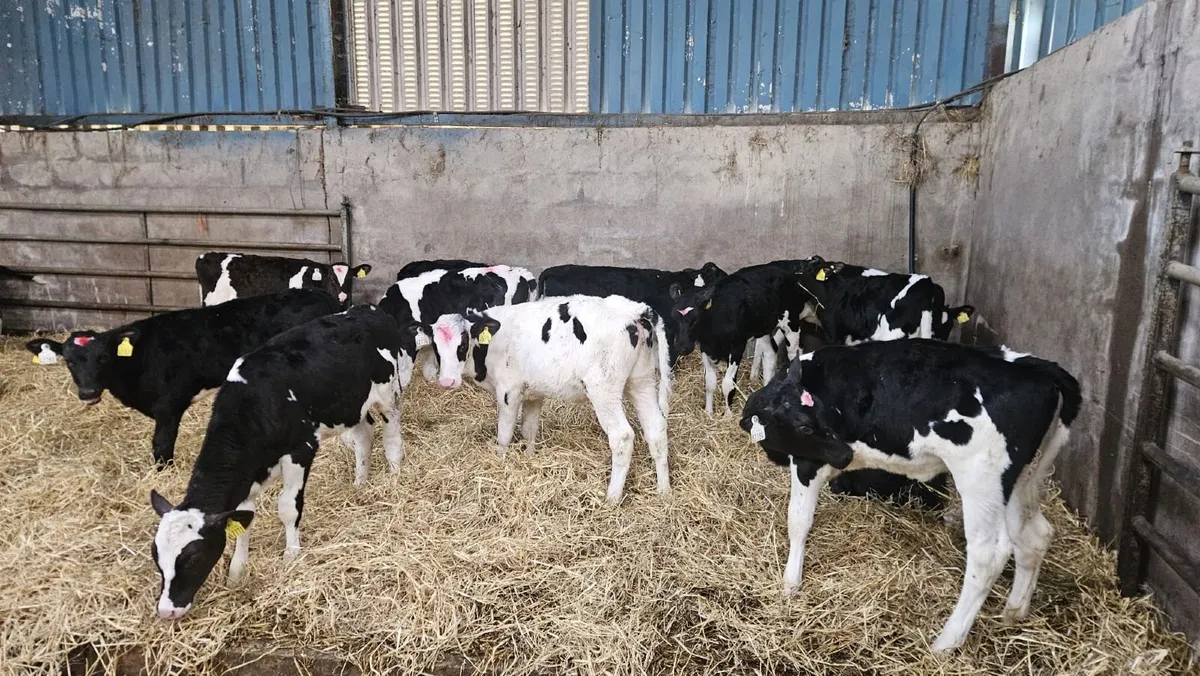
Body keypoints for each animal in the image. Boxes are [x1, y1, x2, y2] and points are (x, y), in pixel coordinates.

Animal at [25, 289, 340, 466]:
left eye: (103, 357)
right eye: (69, 361)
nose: (89, 392)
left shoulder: (169, 405)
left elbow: (162, 444)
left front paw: (163, 471)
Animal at [148, 305, 424, 620]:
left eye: (193, 557)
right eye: (157, 557)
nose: (167, 610)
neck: (256, 404)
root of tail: (369, 309)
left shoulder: (300, 451)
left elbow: (288, 508)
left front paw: (291, 555)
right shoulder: (247, 475)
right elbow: (245, 520)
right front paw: (236, 572)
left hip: (388, 394)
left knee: (391, 436)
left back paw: (394, 474)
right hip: (351, 406)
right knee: (365, 434)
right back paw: (359, 483)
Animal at [429, 294, 672, 504]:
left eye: (462, 343)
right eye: (436, 347)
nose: (447, 381)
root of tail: (632, 309)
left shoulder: (509, 391)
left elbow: (504, 435)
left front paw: (500, 462)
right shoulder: (533, 394)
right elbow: (529, 430)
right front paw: (529, 458)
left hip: (604, 389)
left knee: (622, 436)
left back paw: (612, 498)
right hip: (642, 381)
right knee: (656, 429)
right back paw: (663, 491)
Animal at [672, 259, 830, 417]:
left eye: (695, 319)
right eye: (674, 318)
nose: (681, 346)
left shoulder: (737, 347)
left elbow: (727, 383)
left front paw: (728, 416)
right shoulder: (706, 348)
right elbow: (710, 382)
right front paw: (709, 413)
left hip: (791, 323)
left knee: (794, 353)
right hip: (764, 327)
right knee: (770, 353)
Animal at [740, 340, 1080, 653]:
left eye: (817, 420)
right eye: (804, 426)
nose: (846, 454)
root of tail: (1039, 370)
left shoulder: (807, 462)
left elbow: (798, 521)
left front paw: (790, 583)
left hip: (980, 478)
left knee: (988, 555)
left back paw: (946, 643)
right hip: (1020, 479)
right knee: (1035, 535)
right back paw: (1014, 612)